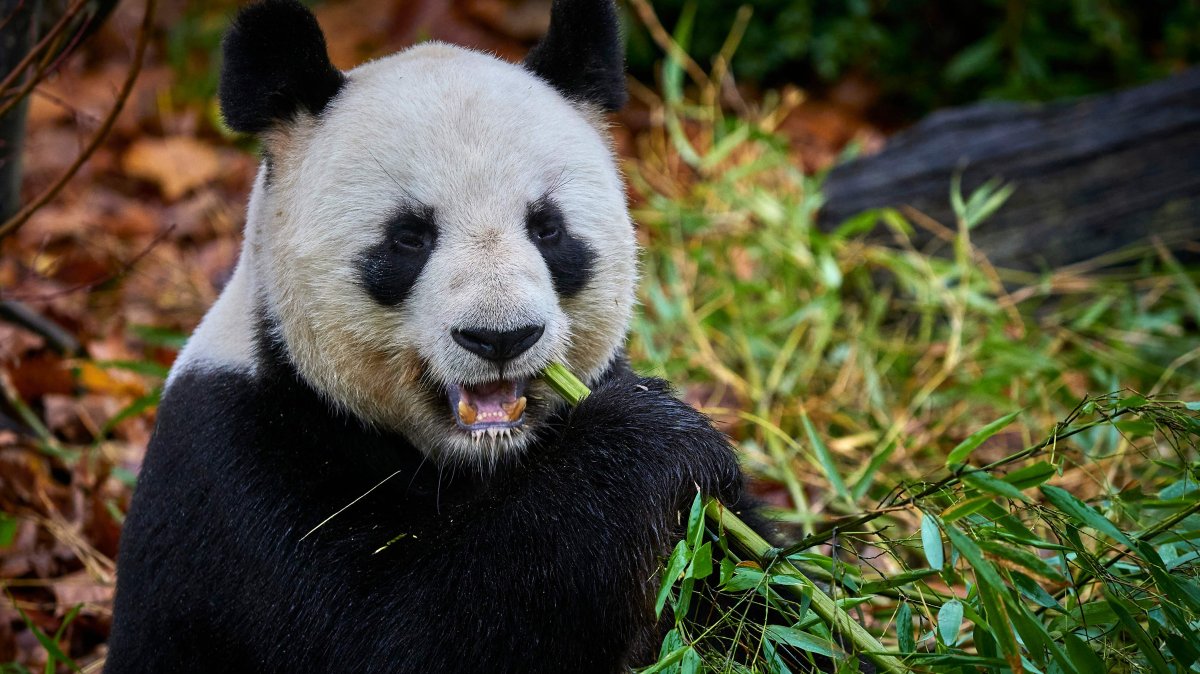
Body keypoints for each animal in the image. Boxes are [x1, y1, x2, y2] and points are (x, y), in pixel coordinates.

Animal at [104, 0, 755, 672]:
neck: (481, 459)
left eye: (547, 228)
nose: (501, 337)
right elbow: (405, 631)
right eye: (409, 237)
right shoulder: (243, 471)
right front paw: (650, 439)